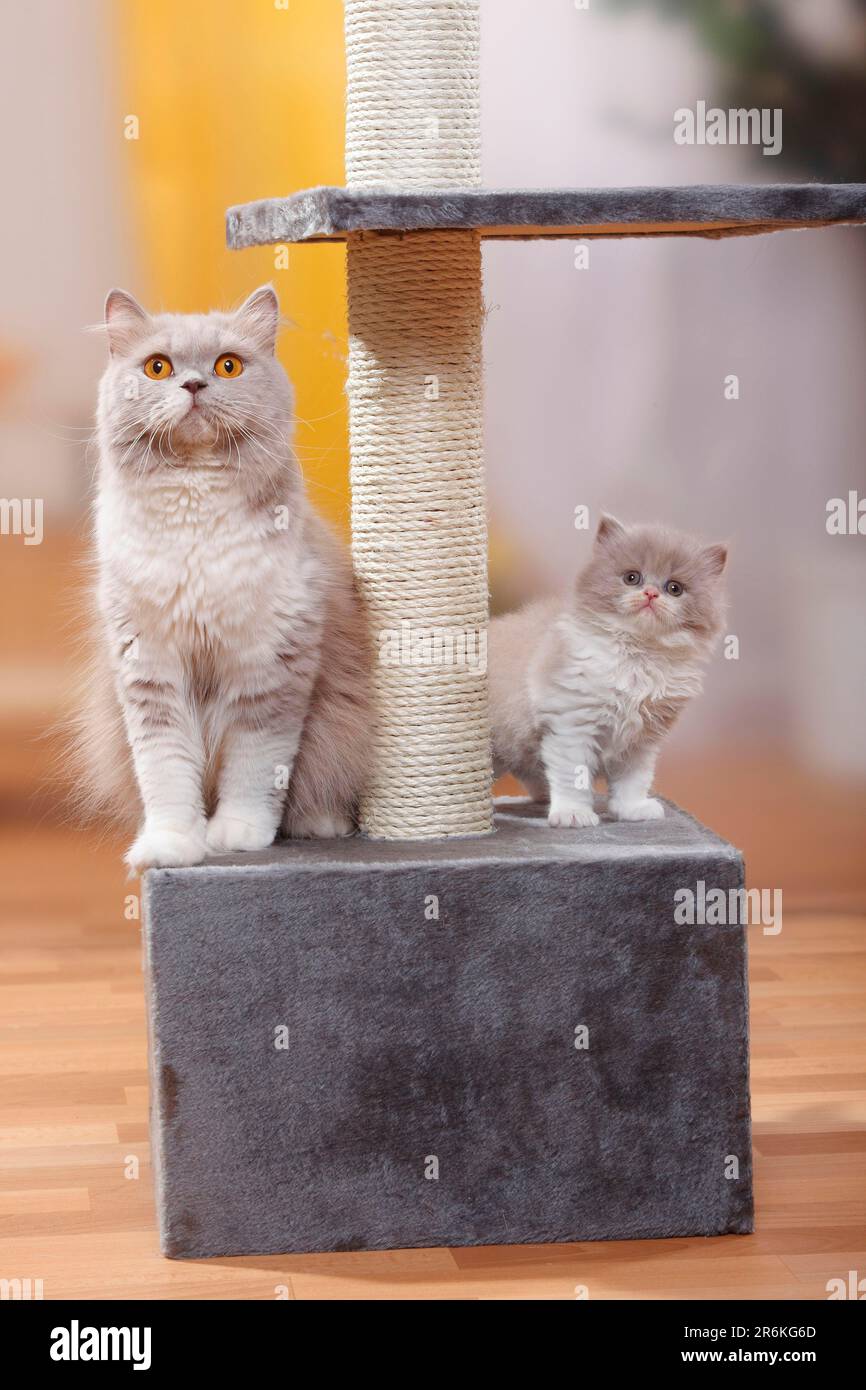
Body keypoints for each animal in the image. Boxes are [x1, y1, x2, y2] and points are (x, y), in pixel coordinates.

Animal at [73, 282, 369, 867]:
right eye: (158, 367)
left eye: (228, 366)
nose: (193, 384)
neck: (196, 508)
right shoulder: (150, 670)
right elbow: (165, 774)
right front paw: (171, 847)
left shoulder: (271, 667)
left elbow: (254, 770)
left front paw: (236, 835)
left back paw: (320, 824)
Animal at [492, 517, 728, 828]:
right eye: (632, 578)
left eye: (674, 588)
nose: (650, 593)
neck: (637, 656)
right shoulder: (572, 726)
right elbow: (573, 777)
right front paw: (573, 814)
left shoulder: (642, 739)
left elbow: (634, 780)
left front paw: (633, 809)